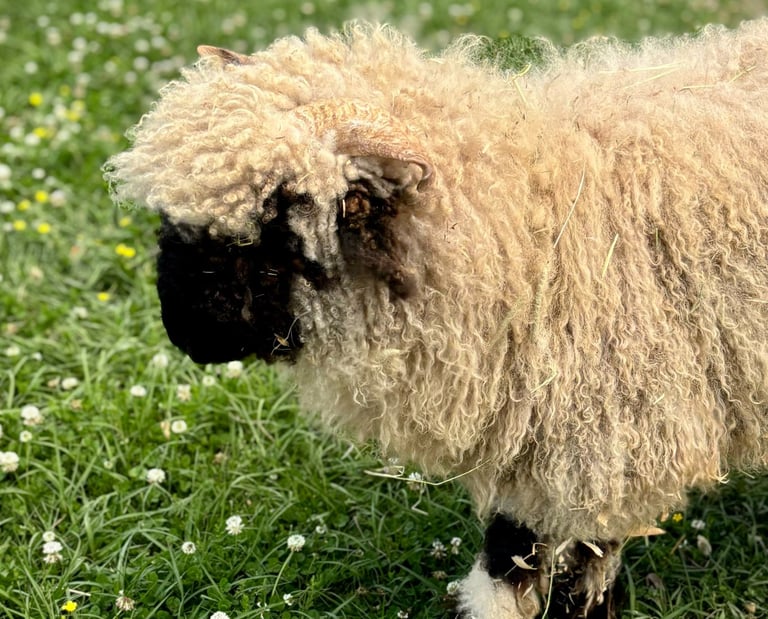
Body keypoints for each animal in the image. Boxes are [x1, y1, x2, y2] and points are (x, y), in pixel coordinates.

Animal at [105, 19, 768, 618]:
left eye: (276, 235)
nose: (185, 336)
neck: (523, 226)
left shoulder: (610, 434)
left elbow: (576, 570)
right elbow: (512, 556)